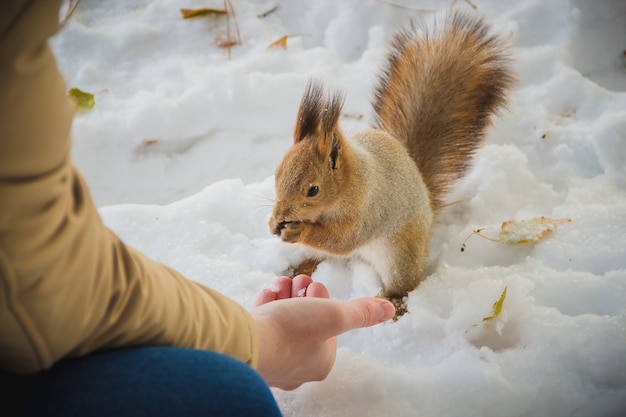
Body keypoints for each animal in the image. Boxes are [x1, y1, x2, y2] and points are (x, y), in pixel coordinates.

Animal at [266, 10, 512, 308]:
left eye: (313, 190)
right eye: (277, 175)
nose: (281, 216)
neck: (349, 184)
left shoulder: (367, 209)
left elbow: (341, 239)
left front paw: (298, 232)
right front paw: (272, 223)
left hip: (401, 256)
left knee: (401, 283)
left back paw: (393, 304)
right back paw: (296, 269)